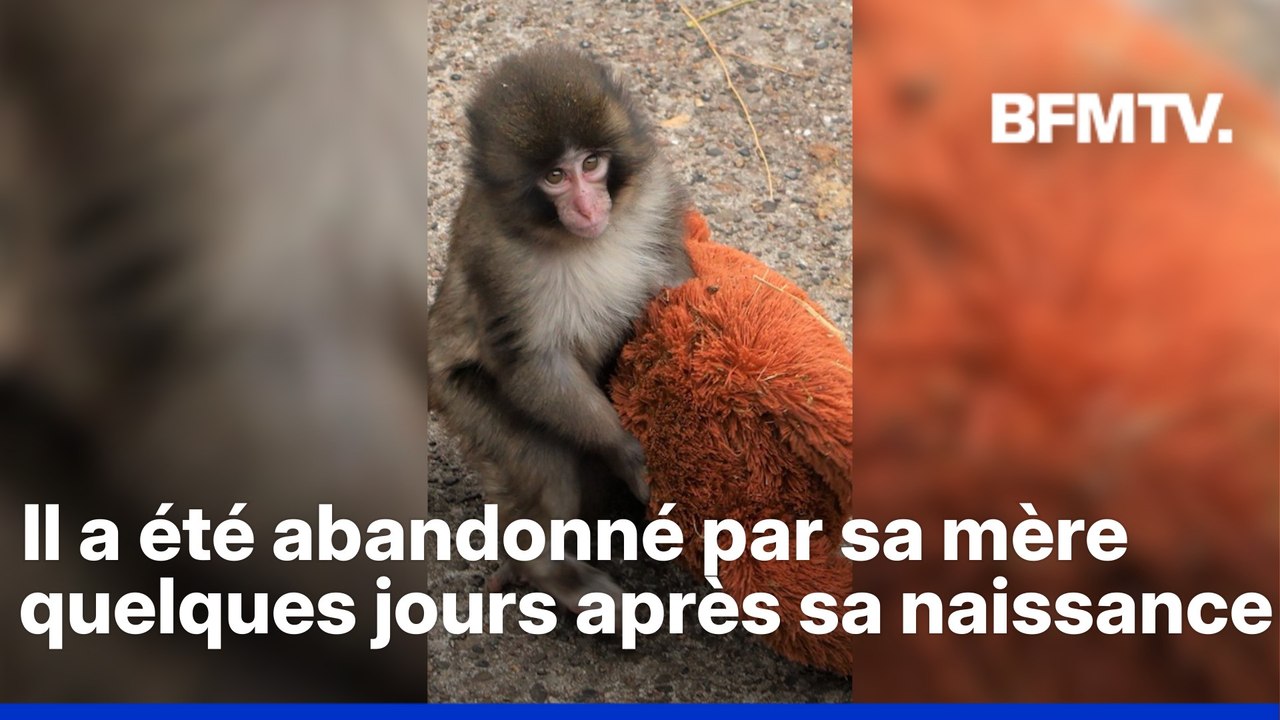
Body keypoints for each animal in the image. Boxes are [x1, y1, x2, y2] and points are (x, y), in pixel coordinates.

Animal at [427, 46, 694, 612]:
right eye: (555, 176)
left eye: (591, 164)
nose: (589, 207)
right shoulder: (497, 260)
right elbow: (531, 364)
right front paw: (624, 448)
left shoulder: (654, 197)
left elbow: (675, 283)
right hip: (458, 397)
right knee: (542, 458)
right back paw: (552, 572)